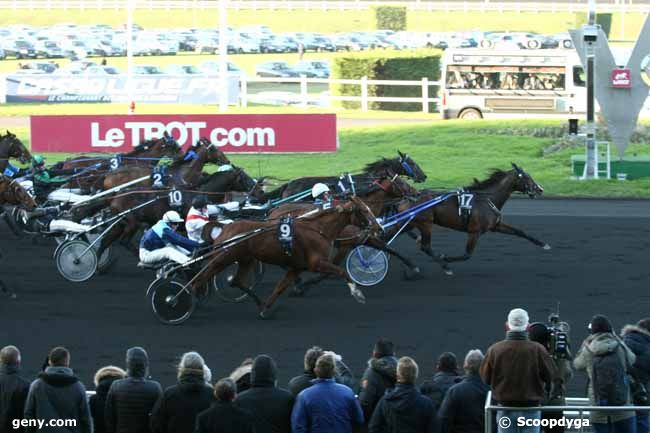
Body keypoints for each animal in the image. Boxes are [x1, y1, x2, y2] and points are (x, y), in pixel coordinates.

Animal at [191, 196, 380, 318]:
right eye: (364, 210)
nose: (379, 228)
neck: (318, 228)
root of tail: (225, 228)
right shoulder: (317, 262)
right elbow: (341, 271)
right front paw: (358, 294)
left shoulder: (297, 267)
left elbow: (280, 287)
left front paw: (266, 308)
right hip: (223, 258)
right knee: (200, 279)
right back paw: (188, 301)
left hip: (246, 259)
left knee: (236, 281)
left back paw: (259, 302)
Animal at [400, 163, 548, 274]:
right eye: (526, 177)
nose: (540, 189)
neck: (487, 199)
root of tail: (411, 196)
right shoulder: (474, 232)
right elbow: (467, 255)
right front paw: (445, 258)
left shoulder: (495, 226)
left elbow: (519, 231)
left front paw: (543, 244)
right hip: (426, 224)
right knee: (425, 247)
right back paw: (443, 266)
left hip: (412, 223)